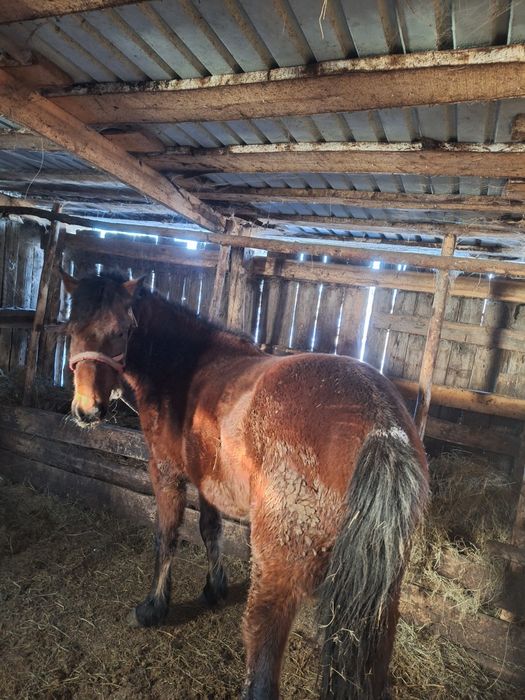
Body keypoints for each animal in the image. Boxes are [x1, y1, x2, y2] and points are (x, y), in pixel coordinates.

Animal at [61, 270, 428, 699]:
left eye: (120, 331)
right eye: (72, 329)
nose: (88, 410)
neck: (185, 367)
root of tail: (380, 424)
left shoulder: (166, 472)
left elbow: (166, 536)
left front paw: (153, 608)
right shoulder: (208, 481)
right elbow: (210, 529)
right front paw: (214, 588)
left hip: (276, 568)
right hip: (381, 598)